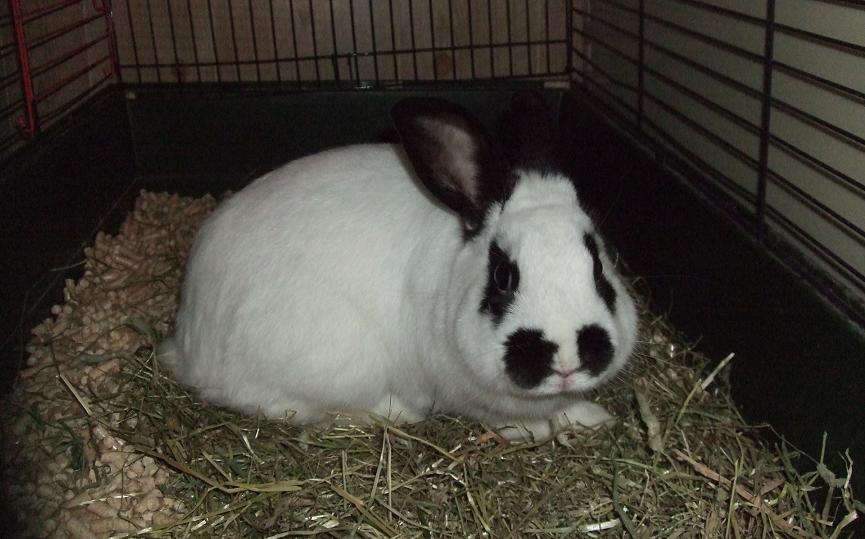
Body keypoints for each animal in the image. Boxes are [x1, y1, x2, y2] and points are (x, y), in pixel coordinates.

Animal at [158, 92, 639, 441]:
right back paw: (398, 413)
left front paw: (594, 418)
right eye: (503, 276)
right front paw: (531, 431)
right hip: (334, 365)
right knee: (286, 404)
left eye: (599, 266)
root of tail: (188, 342)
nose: (567, 356)